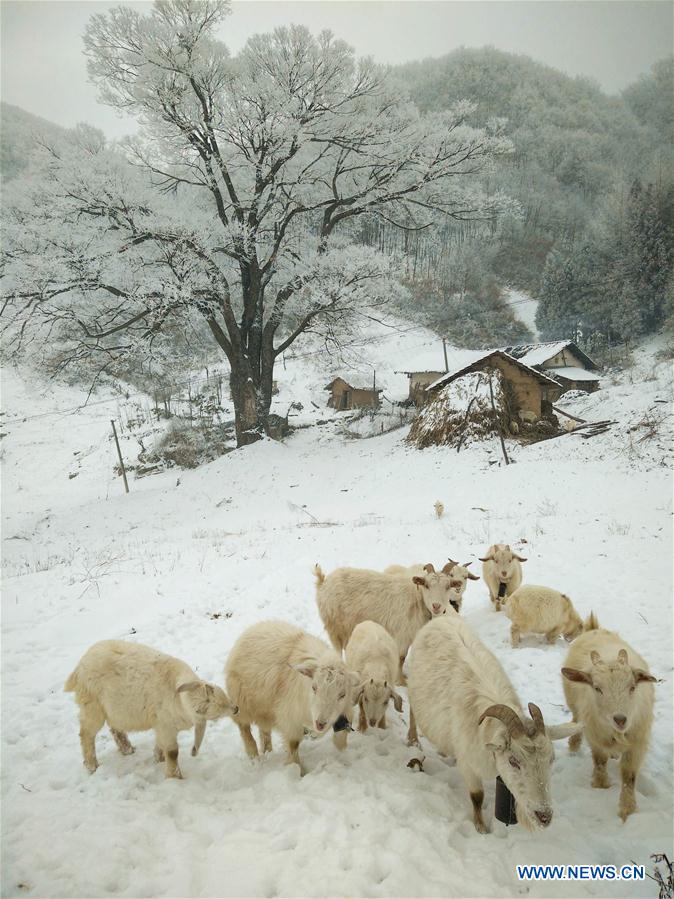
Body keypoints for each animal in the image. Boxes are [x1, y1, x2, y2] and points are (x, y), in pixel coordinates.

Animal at [63, 640, 236, 780]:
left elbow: (161, 744)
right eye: (216, 713)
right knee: (86, 733)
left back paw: (127, 749)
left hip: (114, 708)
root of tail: (79, 667)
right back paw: (92, 766)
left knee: (115, 728)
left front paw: (158, 758)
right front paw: (175, 778)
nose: (236, 709)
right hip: (92, 704)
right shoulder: (166, 724)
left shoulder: (162, 724)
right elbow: (173, 752)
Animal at [226, 620, 360, 772]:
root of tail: (256, 626)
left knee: (264, 729)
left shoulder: (343, 709)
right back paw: (254, 757)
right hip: (241, 703)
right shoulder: (290, 718)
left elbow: (342, 731)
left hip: (265, 708)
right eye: (314, 687)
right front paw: (295, 769)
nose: (320, 723)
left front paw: (340, 747)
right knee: (245, 730)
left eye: (342, 695)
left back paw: (267, 750)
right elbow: (293, 745)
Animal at [314, 564, 452, 684]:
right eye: (426, 585)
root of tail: (323, 583)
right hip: (335, 626)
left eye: (448, 587)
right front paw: (401, 681)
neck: (417, 599)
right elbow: (401, 658)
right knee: (337, 650)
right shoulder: (402, 635)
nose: (436, 606)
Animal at [402, 616, 580, 832]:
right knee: (412, 711)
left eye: (551, 759)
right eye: (513, 761)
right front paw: (480, 828)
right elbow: (477, 797)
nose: (544, 816)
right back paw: (413, 739)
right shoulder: (469, 764)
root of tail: (441, 618)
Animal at [560, 616, 652, 820]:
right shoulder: (596, 737)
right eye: (597, 688)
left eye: (632, 687)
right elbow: (600, 761)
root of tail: (595, 629)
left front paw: (627, 810)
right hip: (574, 706)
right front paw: (601, 785)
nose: (620, 719)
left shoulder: (637, 742)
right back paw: (574, 745)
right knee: (575, 719)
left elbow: (628, 775)